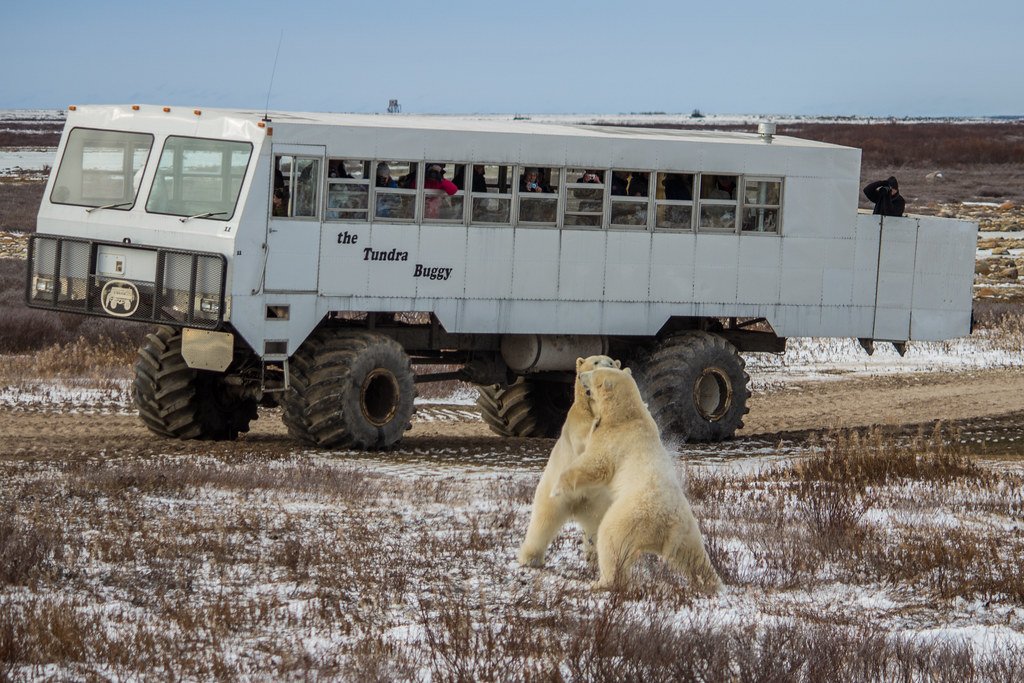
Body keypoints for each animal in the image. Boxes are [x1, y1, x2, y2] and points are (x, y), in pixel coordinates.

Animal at [516, 356, 618, 569]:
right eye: (596, 362)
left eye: (612, 362)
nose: (606, 369)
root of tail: (577, 506)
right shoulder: (577, 421)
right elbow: (585, 440)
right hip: (554, 493)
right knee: (543, 521)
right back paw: (530, 558)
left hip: (598, 502)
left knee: (597, 526)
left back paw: (595, 557)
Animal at [552, 366, 720, 593]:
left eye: (595, 373)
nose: (580, 375)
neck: (627, 415)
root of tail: (667, 522)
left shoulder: (614, 440)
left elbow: (595, 465)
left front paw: (556, 489)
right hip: (687, 530)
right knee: (694, 557)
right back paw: (713, 583)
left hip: (629, 518)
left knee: (611, 541)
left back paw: (601, 582)